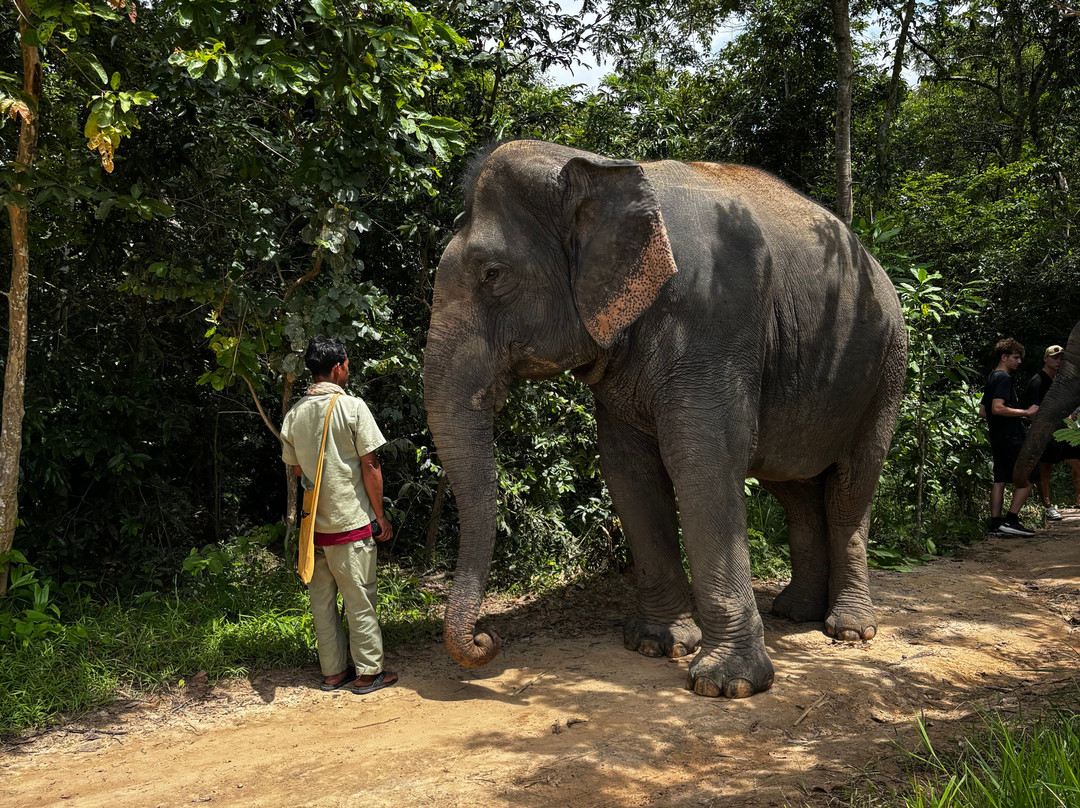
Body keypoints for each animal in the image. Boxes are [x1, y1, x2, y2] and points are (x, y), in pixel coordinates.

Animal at [423, 140, 907, 698]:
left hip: (887, 368)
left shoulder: (714, 318)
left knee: (851, 485)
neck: (599, 166)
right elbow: (628, 470)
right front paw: (657, 644)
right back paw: (794, 613)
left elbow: (701, 460)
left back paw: (849, 630)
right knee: (795, 487)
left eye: (493, 275)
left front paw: (726, 685)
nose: (486, 639)